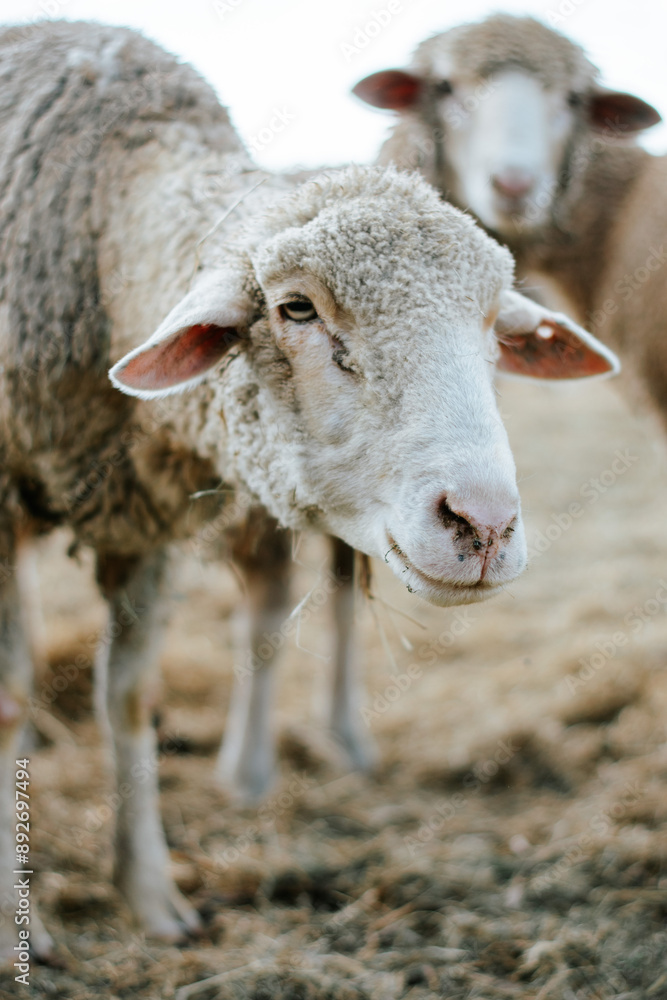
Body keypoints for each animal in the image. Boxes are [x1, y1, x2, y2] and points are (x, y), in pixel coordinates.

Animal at [0, 20, 619, 961]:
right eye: (295, 309)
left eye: (494, 324)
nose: (481, 524)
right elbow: (3, 703)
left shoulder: (142, 520)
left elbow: (132, 696)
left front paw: (150, 896)